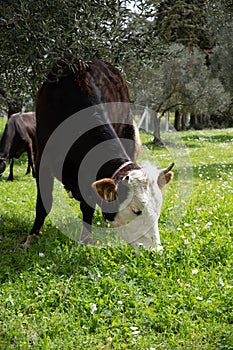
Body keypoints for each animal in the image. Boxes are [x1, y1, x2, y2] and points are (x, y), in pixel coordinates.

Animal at [21, 58, 174, 252]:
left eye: (158, 208)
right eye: (135, 210)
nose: (155, 251)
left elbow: (88, 207)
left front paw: (86, 239)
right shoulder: (42, 161)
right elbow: (43, 202)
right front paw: (31, 236)